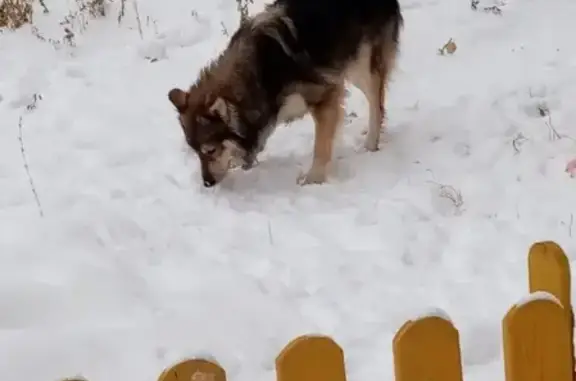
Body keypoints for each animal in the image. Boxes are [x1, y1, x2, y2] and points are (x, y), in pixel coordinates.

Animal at [168, 0, 400, 187]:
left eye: (210, 151)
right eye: (196, 153)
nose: (207, 184)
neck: (260, 74)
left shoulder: (325, 96)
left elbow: (321, 147)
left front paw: (312, 180)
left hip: (360, 66)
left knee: (377, 103)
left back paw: (370, 144)